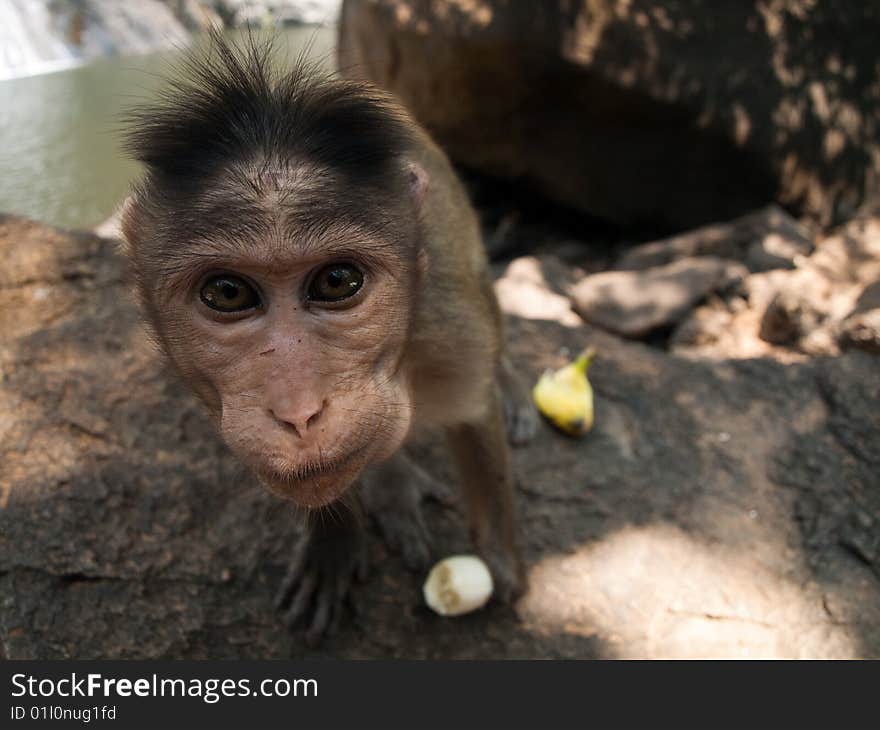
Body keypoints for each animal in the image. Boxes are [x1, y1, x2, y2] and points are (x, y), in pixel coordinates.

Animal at [120, 31, 540, 640]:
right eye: (227, 293)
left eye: (337, 281)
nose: (298, 412)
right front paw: (334, 542)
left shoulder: (448, 323)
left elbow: (475, 415)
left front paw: (502, 557)